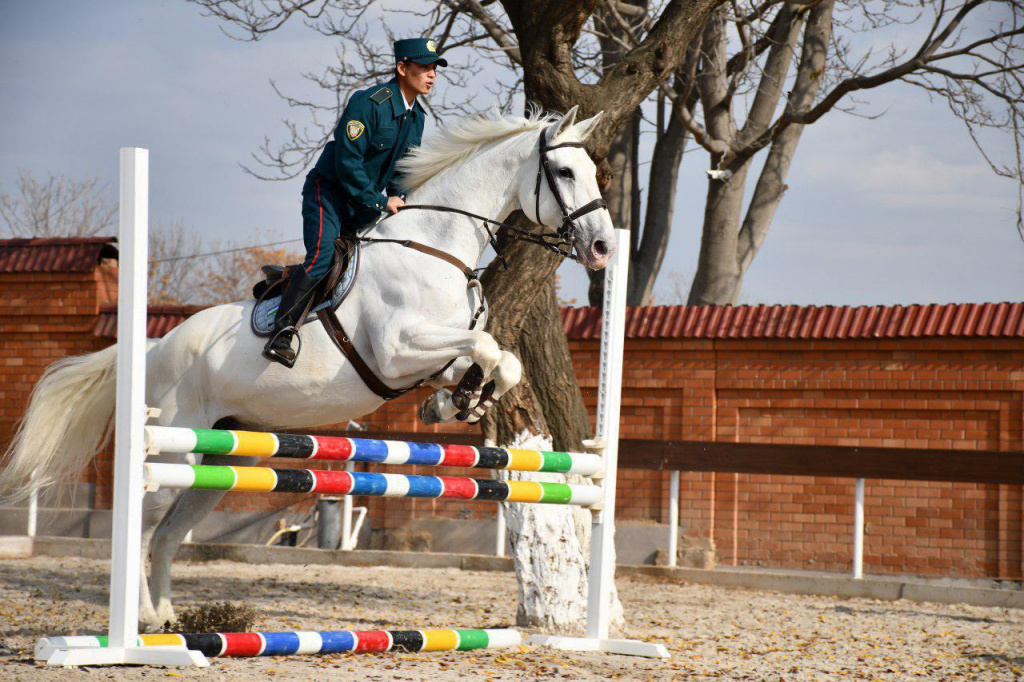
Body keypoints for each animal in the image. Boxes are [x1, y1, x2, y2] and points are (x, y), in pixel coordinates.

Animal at [0, 104, 614, 626]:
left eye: (593, 171)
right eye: (563, 172)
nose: (604, 248)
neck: (435, 247)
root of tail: (153, 347)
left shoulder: (431, 352)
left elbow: (500, 360)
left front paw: (458, 402)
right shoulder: (398, 351)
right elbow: (487, 348)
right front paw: (461, 401)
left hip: (218, 460)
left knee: (169, 534)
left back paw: (168, 618)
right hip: (171, 449)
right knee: (144, 522)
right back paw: (145, 619)